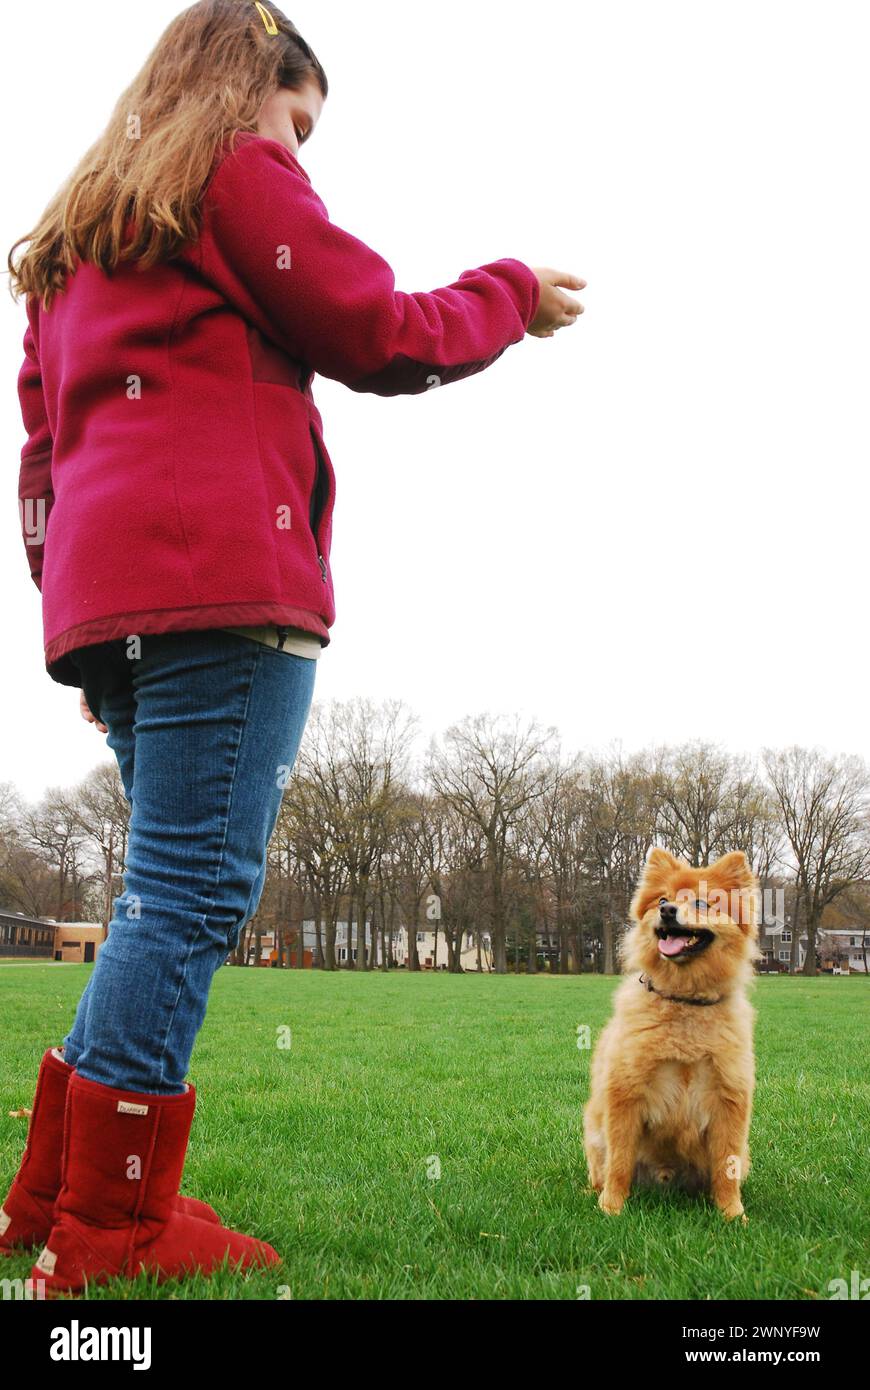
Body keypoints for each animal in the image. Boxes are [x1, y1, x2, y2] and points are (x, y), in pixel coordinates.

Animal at [583, 839, 756, 1223]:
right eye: (662, 899)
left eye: (703, 903)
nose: (668, 911)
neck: (684, 1001)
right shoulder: (625, 1093)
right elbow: (619, 1162)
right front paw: (611, 1207)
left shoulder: (729, 1099)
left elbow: (726, 1166)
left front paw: (732, 1213)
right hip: (594, 1130)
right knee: (601, 1167)